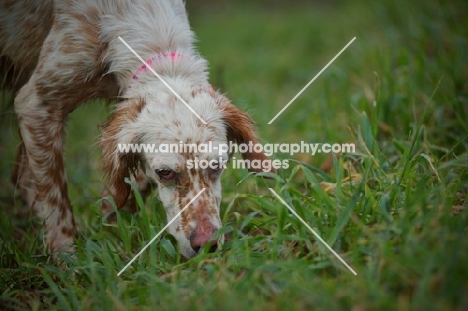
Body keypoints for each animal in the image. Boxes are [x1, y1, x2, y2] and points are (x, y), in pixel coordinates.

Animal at [0, 0, 270, 260]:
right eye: (165, 173)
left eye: (217, 165)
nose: (206, 245)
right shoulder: (36, 104)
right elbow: (55, 200)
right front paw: (67, 259)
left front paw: (111, 216)